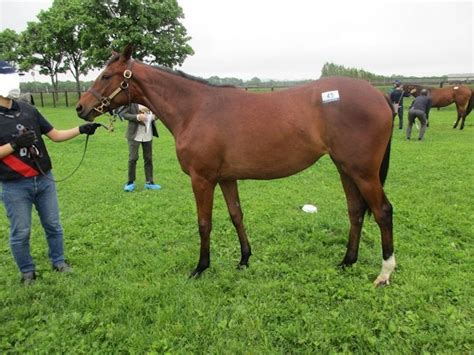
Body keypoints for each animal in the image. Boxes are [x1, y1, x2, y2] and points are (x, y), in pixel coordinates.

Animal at [76, 46, 396, 288]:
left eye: (106, 75)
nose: (81, 107)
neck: (196, 109)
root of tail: (378, 95)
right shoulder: (226, 178)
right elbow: (236, 215)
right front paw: (244, 259)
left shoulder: (202, 179)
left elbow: (204, 223)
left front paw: (201, 267)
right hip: (345, 168)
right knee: (356, 211)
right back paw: (347, 261)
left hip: (363, 172)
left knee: (382, 212)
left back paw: (384, 273)